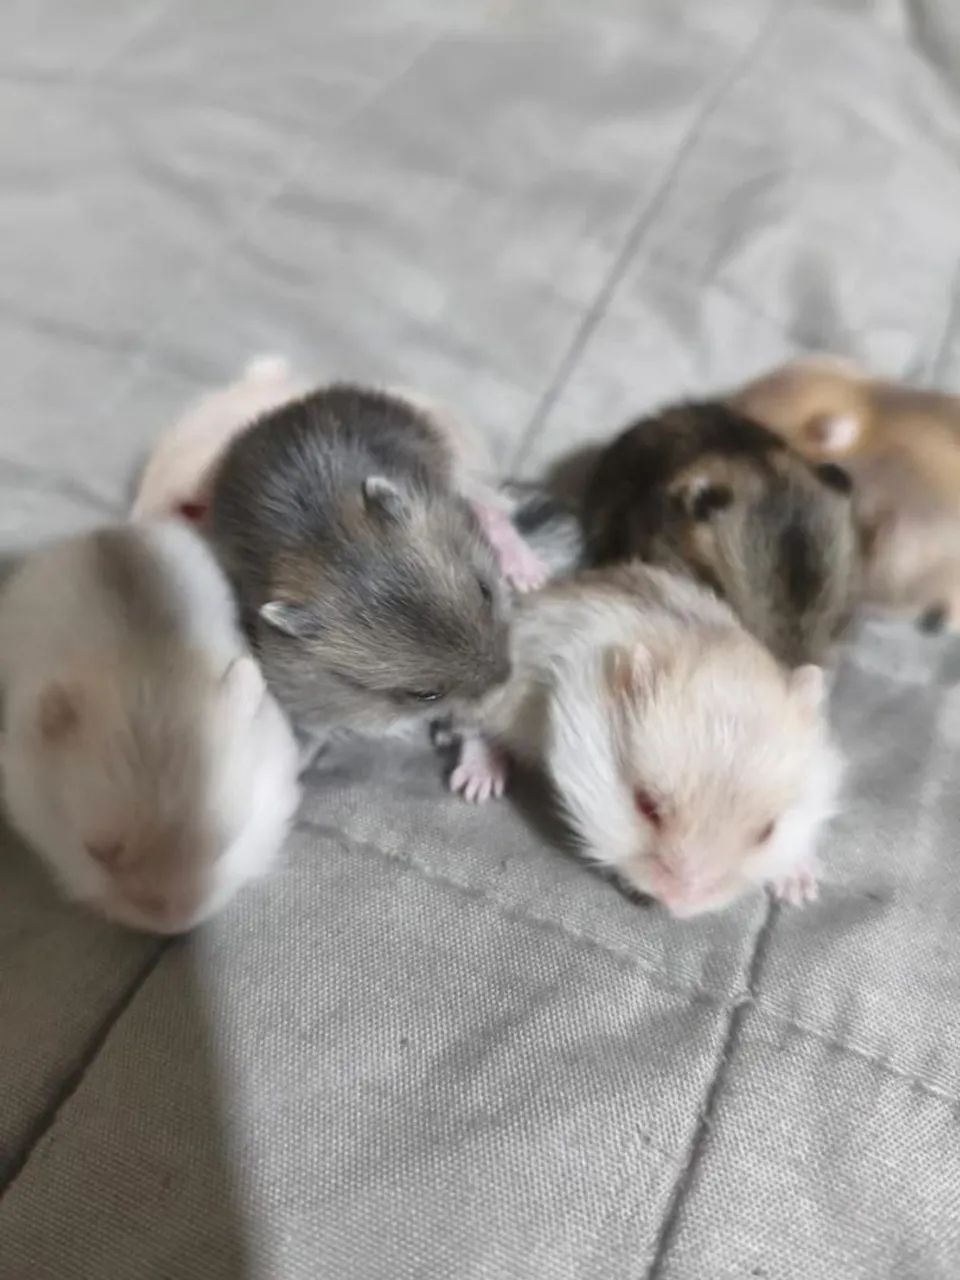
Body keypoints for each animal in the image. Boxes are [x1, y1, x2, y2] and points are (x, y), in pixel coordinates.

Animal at [450, 563, 841, 918]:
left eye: (766, 832)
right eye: (646, 806)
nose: (680, 906)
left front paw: (801, 891)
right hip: (497, 699)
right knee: (473, 729)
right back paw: (476, 785)